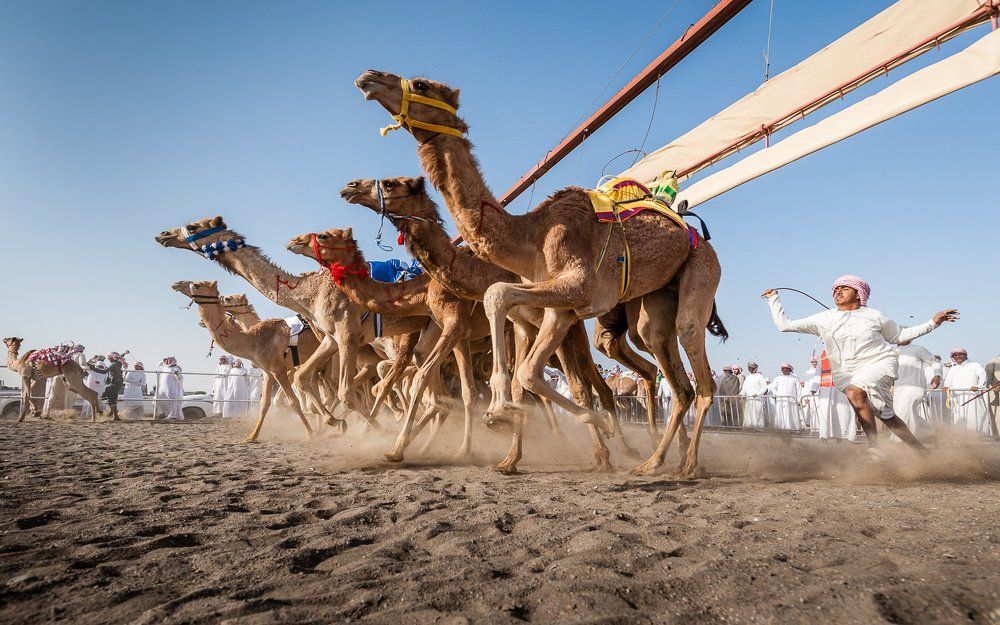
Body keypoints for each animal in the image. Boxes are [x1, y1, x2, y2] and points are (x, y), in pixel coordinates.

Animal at [155, 217, 429, 432]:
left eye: (193, 226)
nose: (163, 235)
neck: (308, 295)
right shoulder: (329, 338)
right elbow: (301, 379)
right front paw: (333, 422)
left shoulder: (346, 334)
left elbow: (342, 392)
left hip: (397, 341)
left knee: (397, 376)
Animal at [287, 227, 485, 462]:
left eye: (324, 236)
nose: (293, 241)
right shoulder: (454, 329)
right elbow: (462, 391)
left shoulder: (455, 321)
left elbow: (404, 382)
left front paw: (390, 443)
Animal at [340, 176, 649, 472]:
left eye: (390, 183)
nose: (350, 187)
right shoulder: (488, 331)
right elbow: (486, 389)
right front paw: (498, 452)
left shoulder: (469, 324)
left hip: (572, 332)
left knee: (592, 384)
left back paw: (619, 448)